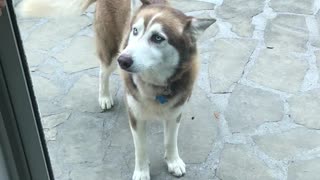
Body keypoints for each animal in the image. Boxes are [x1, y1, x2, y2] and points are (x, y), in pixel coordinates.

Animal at [19, 0, 215, 179]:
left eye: (158, 38)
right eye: (135, 31)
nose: (124, 60)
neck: (155, 85)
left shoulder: (175, 112)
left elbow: (170, 141)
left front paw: (173, 161)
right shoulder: (135, 116)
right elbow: (141, 148)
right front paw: (142, 172)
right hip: (111, 53)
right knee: (102, 71)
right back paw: (104, 97)